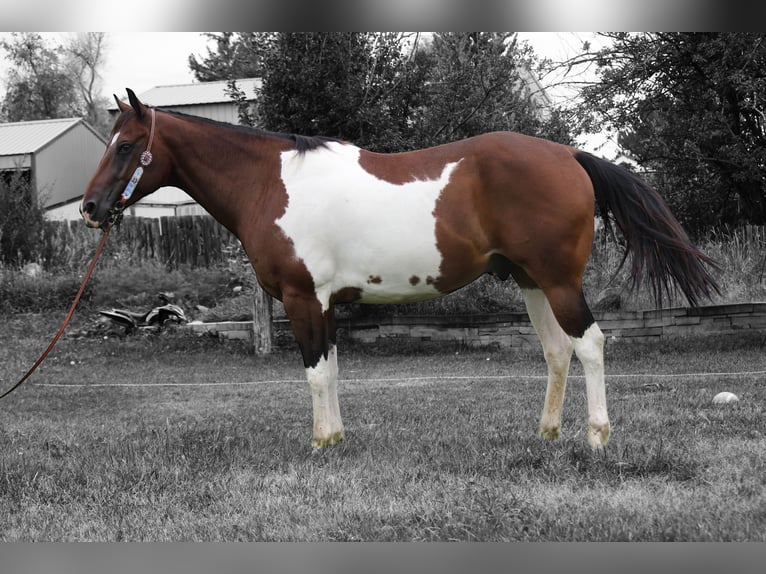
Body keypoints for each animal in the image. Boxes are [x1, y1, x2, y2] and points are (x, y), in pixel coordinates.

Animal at [81, 89, 719, 450]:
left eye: (125, 145)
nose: (90, 208)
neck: (271, 183)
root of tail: (568, 154)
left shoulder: (302, 298)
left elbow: (315, 373)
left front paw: (319, 444)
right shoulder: (325, 303)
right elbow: (332, 368)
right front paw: (337, 438)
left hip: (559, 281)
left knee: (589, 346)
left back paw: (596, 438)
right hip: (531, 281)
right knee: (557, 352)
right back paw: (547, 434)